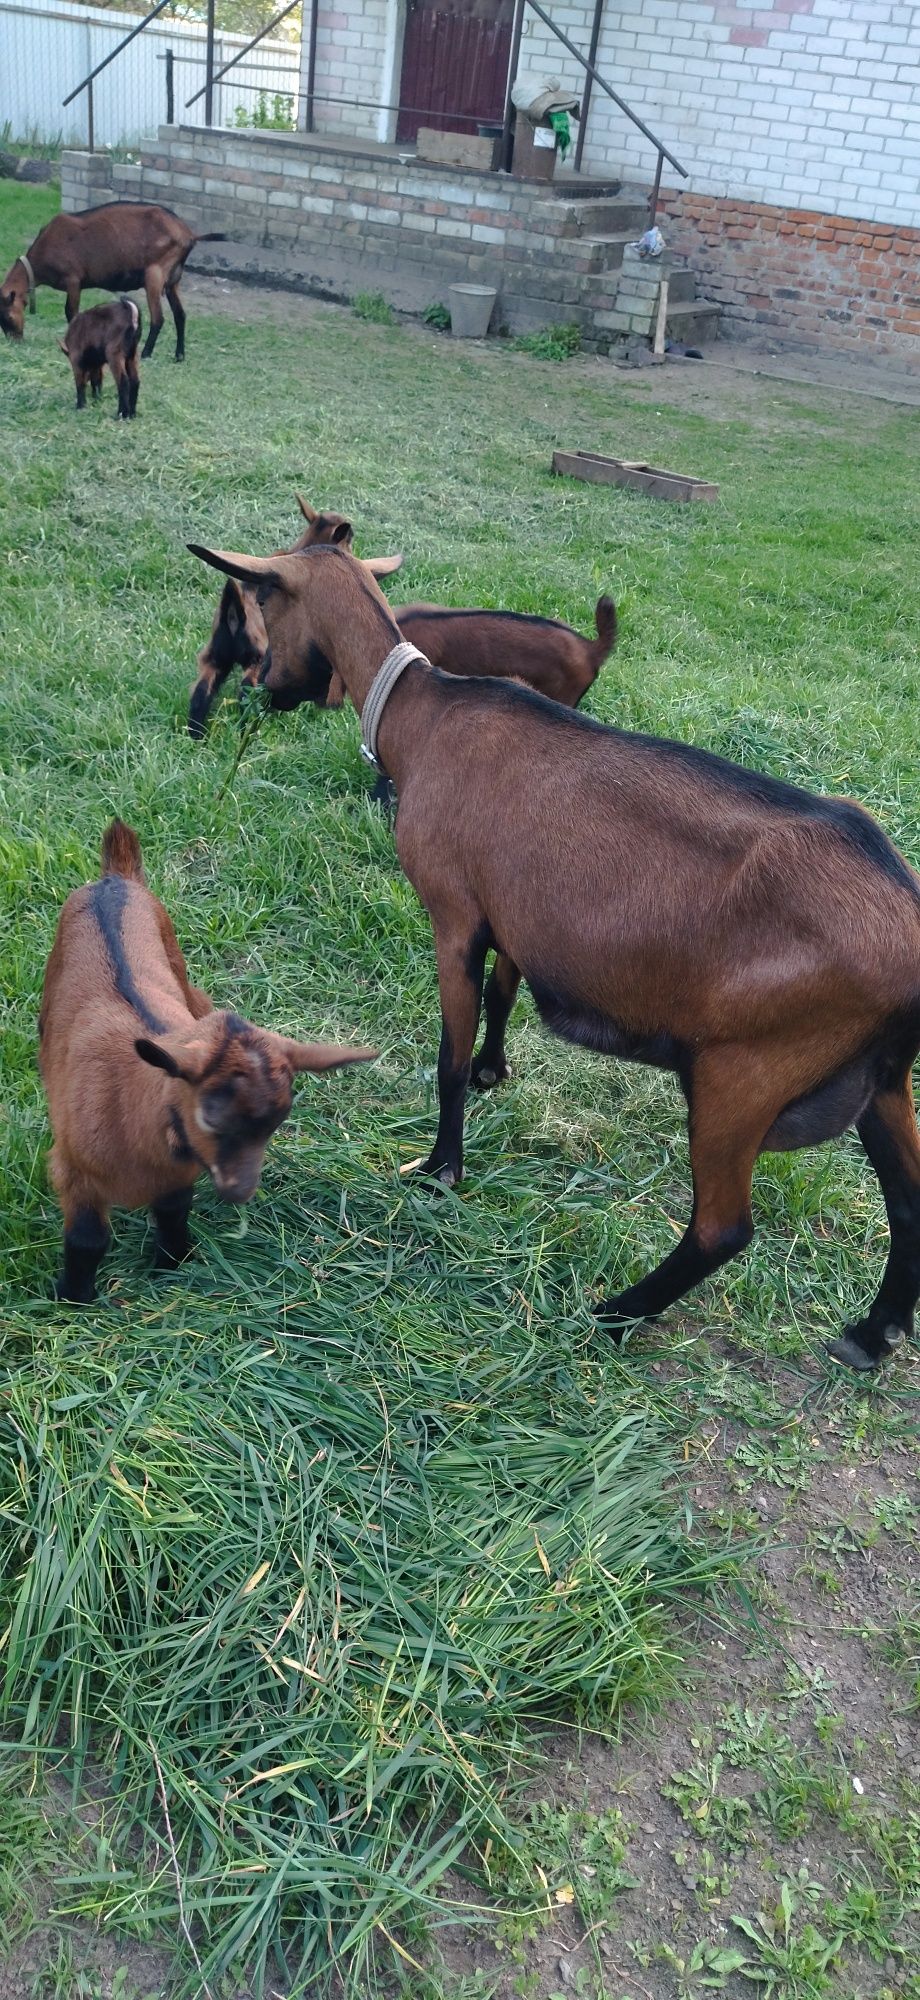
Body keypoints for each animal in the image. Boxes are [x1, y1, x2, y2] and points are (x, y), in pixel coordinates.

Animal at [0, 206, 223, 360]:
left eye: (8, 317)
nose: (15, 341)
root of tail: (190, 235)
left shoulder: (73, 280)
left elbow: (71, 313)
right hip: (173, 279)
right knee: (180, 315)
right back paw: (179, 355)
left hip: (155, 274)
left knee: (158, 318)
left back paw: (146, 353)